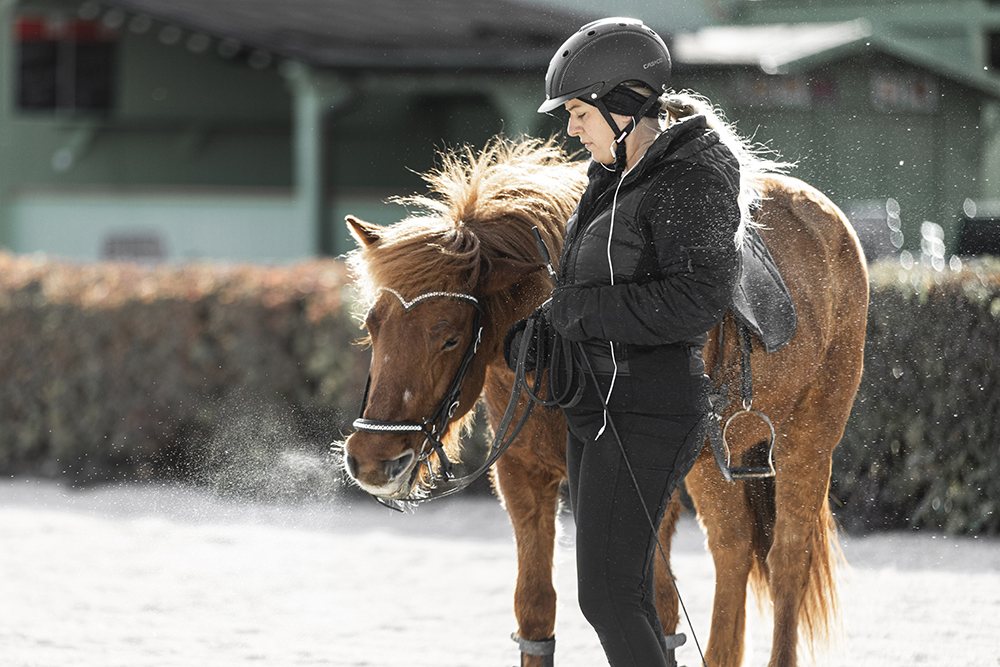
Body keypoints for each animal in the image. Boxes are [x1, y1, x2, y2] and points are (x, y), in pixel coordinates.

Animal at [342, 137, 868, 667]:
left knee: (784, 560)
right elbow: (537, 608)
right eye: (372, 325)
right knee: (733, 553)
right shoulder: (523, 476)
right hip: (712, 464)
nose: (372, 461)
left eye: (449, 338)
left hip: (807, 444)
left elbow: (654, 608)